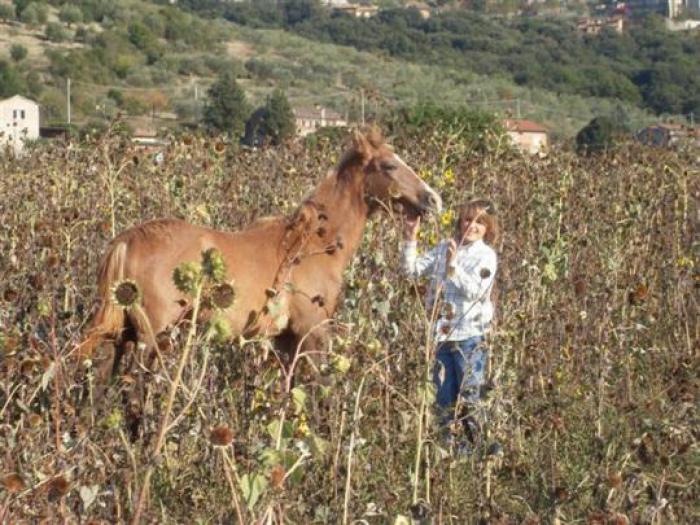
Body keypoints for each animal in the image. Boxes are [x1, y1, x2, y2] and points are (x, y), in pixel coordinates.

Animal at [78, 127, 442, 382]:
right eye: (389, 165)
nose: (433, 199)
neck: (312, 244)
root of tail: (127, 240)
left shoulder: (284, 341)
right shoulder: (311, 332)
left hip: (121, 335)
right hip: (151, 336)